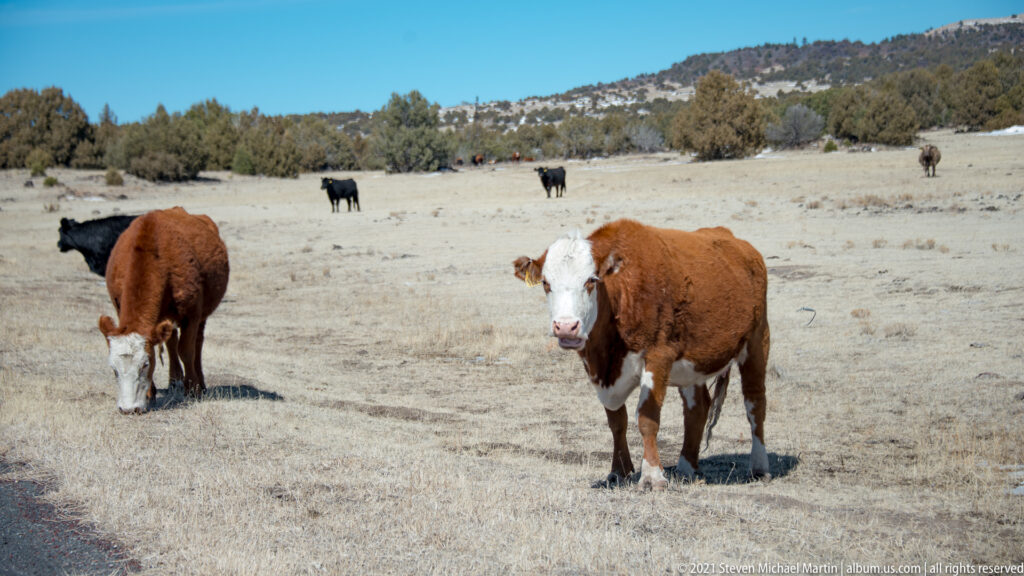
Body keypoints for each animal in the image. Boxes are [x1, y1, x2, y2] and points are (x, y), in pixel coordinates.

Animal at [98, 207, 229, 414]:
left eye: (145, 364)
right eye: (113, 369)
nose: (129, 409)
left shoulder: (192, 315)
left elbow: (186, 351)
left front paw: (192, 389)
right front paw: (150, 394)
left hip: (201, 316)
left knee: (197, 344)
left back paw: (200, 384)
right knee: (171, 342)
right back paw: (174, 380)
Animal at [513, 219, 770, 490]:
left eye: (591, 280)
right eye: (545, 283)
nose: (565, 327)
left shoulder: (658, 357)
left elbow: (646, 418)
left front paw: (652, 476)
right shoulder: (600, 371)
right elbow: (617, 421)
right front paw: (618, 471)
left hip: (757, 341)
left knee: (755, 403)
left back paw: (759, 467)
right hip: (693, 365)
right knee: (697, 408)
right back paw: (687, 467)